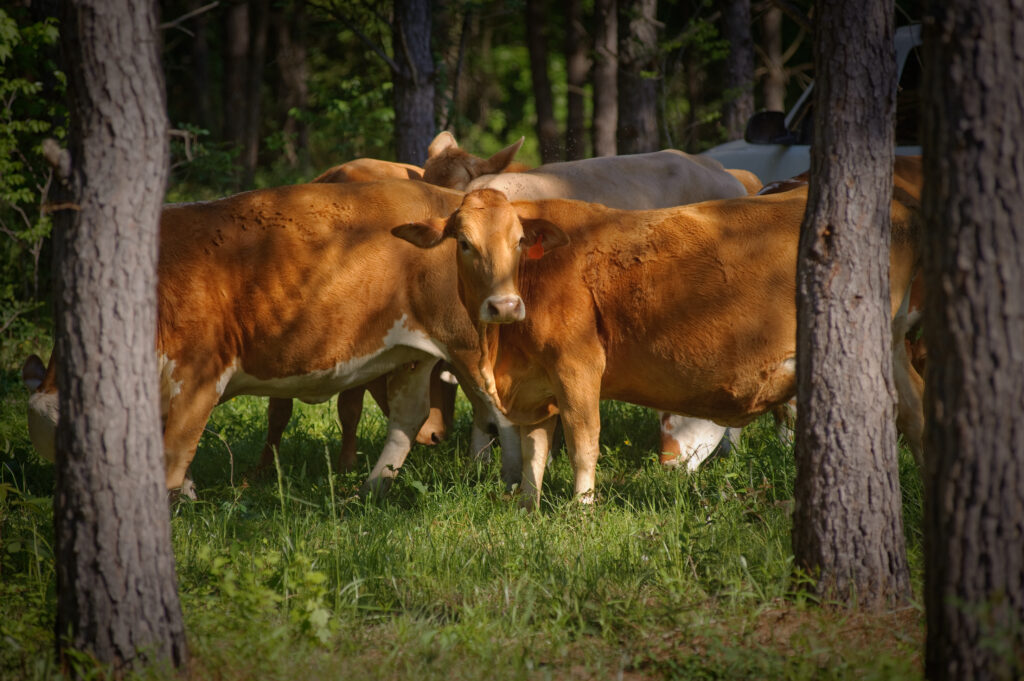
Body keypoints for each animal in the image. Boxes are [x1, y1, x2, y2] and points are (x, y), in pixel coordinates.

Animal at [22, 179, 520, 499]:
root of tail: (447, 200)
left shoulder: (199, 377)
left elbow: (173, 458)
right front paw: (189, 498)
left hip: (465, 345)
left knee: (501, 412)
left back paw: (517, 488)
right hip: (413, 353)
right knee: (409, 417)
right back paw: (371, 489)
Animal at [395, 183, 925, 507]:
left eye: (520, 240)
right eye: (464, 242)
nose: (504, 305)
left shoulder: (577, 367)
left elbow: (583, 443)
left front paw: (581, 510)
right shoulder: (535, 386)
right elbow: (534, 450)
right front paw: (528, 508)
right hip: (894, 346)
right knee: (915, 409)